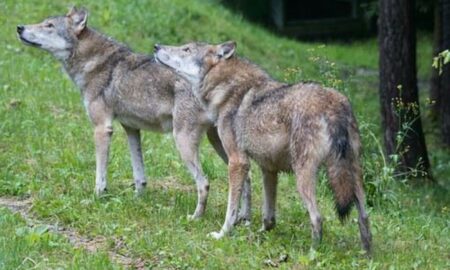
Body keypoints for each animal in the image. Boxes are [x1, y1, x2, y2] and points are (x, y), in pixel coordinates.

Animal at [16, 7, 253, 220]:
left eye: (49, 26)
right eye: (43, 22)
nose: (19, 27)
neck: (95, 62)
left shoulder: (102, 128)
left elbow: (100, 174)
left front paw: (96, 197)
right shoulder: (131, 128)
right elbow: (139, 173)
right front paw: (138, 199)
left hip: (183, 142)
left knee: (204, 183)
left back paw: (196, 218)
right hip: (219, 144)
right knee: (247, 177)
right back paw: (244, 220)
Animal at [155, 40, 372, 253]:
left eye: (186, 49)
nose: (156, 46)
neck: (228, 90)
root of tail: (334, 105)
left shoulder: (237, 162)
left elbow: (231, 210)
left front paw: (222, 234)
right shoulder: (268, 169)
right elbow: (269, 216)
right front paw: (257, 234)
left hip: (303, 178)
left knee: (318, 218)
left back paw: (312, 254)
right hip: (354, 178)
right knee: (364, 217)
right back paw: (367, 255)